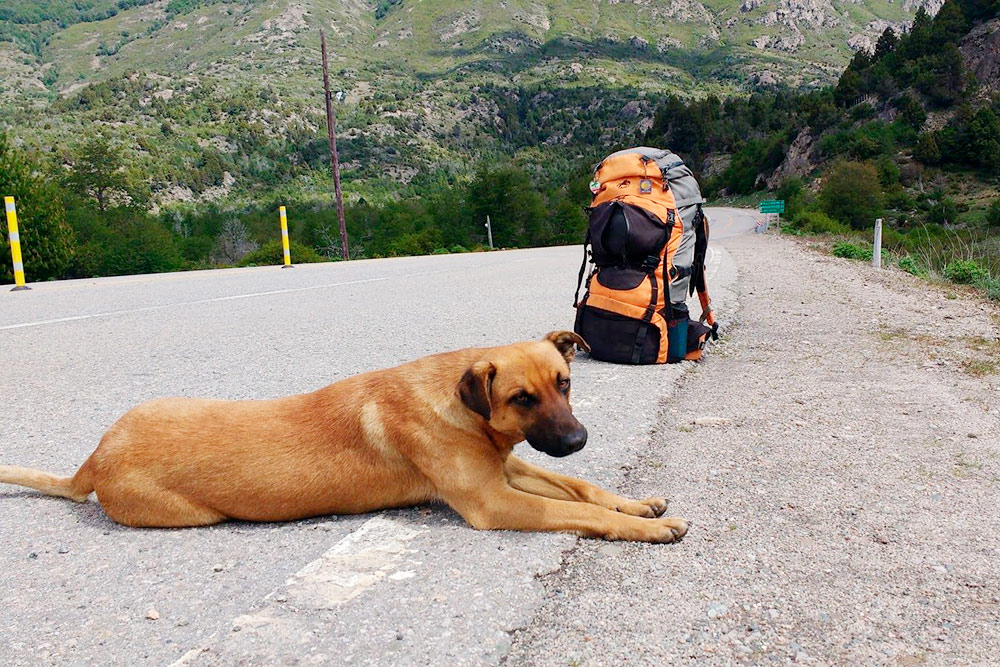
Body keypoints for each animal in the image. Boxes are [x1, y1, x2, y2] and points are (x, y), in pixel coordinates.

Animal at [0, 332, 688, 544]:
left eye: (566, 383)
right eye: (524, 398)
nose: (577, 437)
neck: (459, 406)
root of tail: (95, 457)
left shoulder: (507, 470)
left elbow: (580, 487)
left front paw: (639, 503)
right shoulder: (493, 501)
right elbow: (578, 510)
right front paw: (642, 527)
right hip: (191, 513)